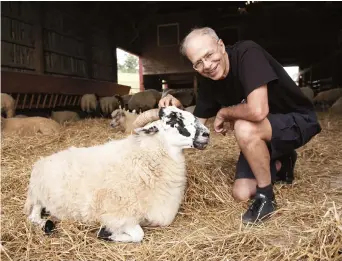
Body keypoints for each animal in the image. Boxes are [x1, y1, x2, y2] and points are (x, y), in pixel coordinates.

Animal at [24, 105, 210, 242]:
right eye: (173, 119)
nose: (207, 134)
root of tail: (43, 160)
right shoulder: (119, 215)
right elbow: (138, 235)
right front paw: (106, 234)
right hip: (38, 195)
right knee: (33, 216)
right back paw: (46, 225)